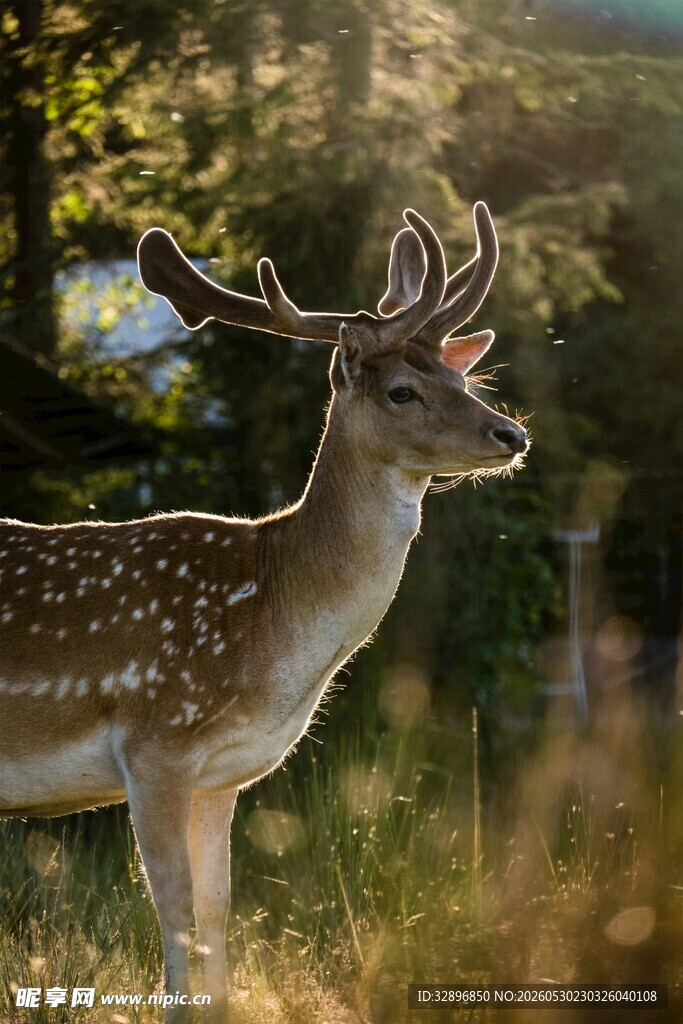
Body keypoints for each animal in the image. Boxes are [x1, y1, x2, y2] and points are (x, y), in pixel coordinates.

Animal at [0, 201, 528, 1019]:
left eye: (459, 374)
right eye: (400, 391)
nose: (511, 434)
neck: (271, 630)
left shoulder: (222, 775)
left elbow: (219, 913)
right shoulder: (154, 740)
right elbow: (175, 912)